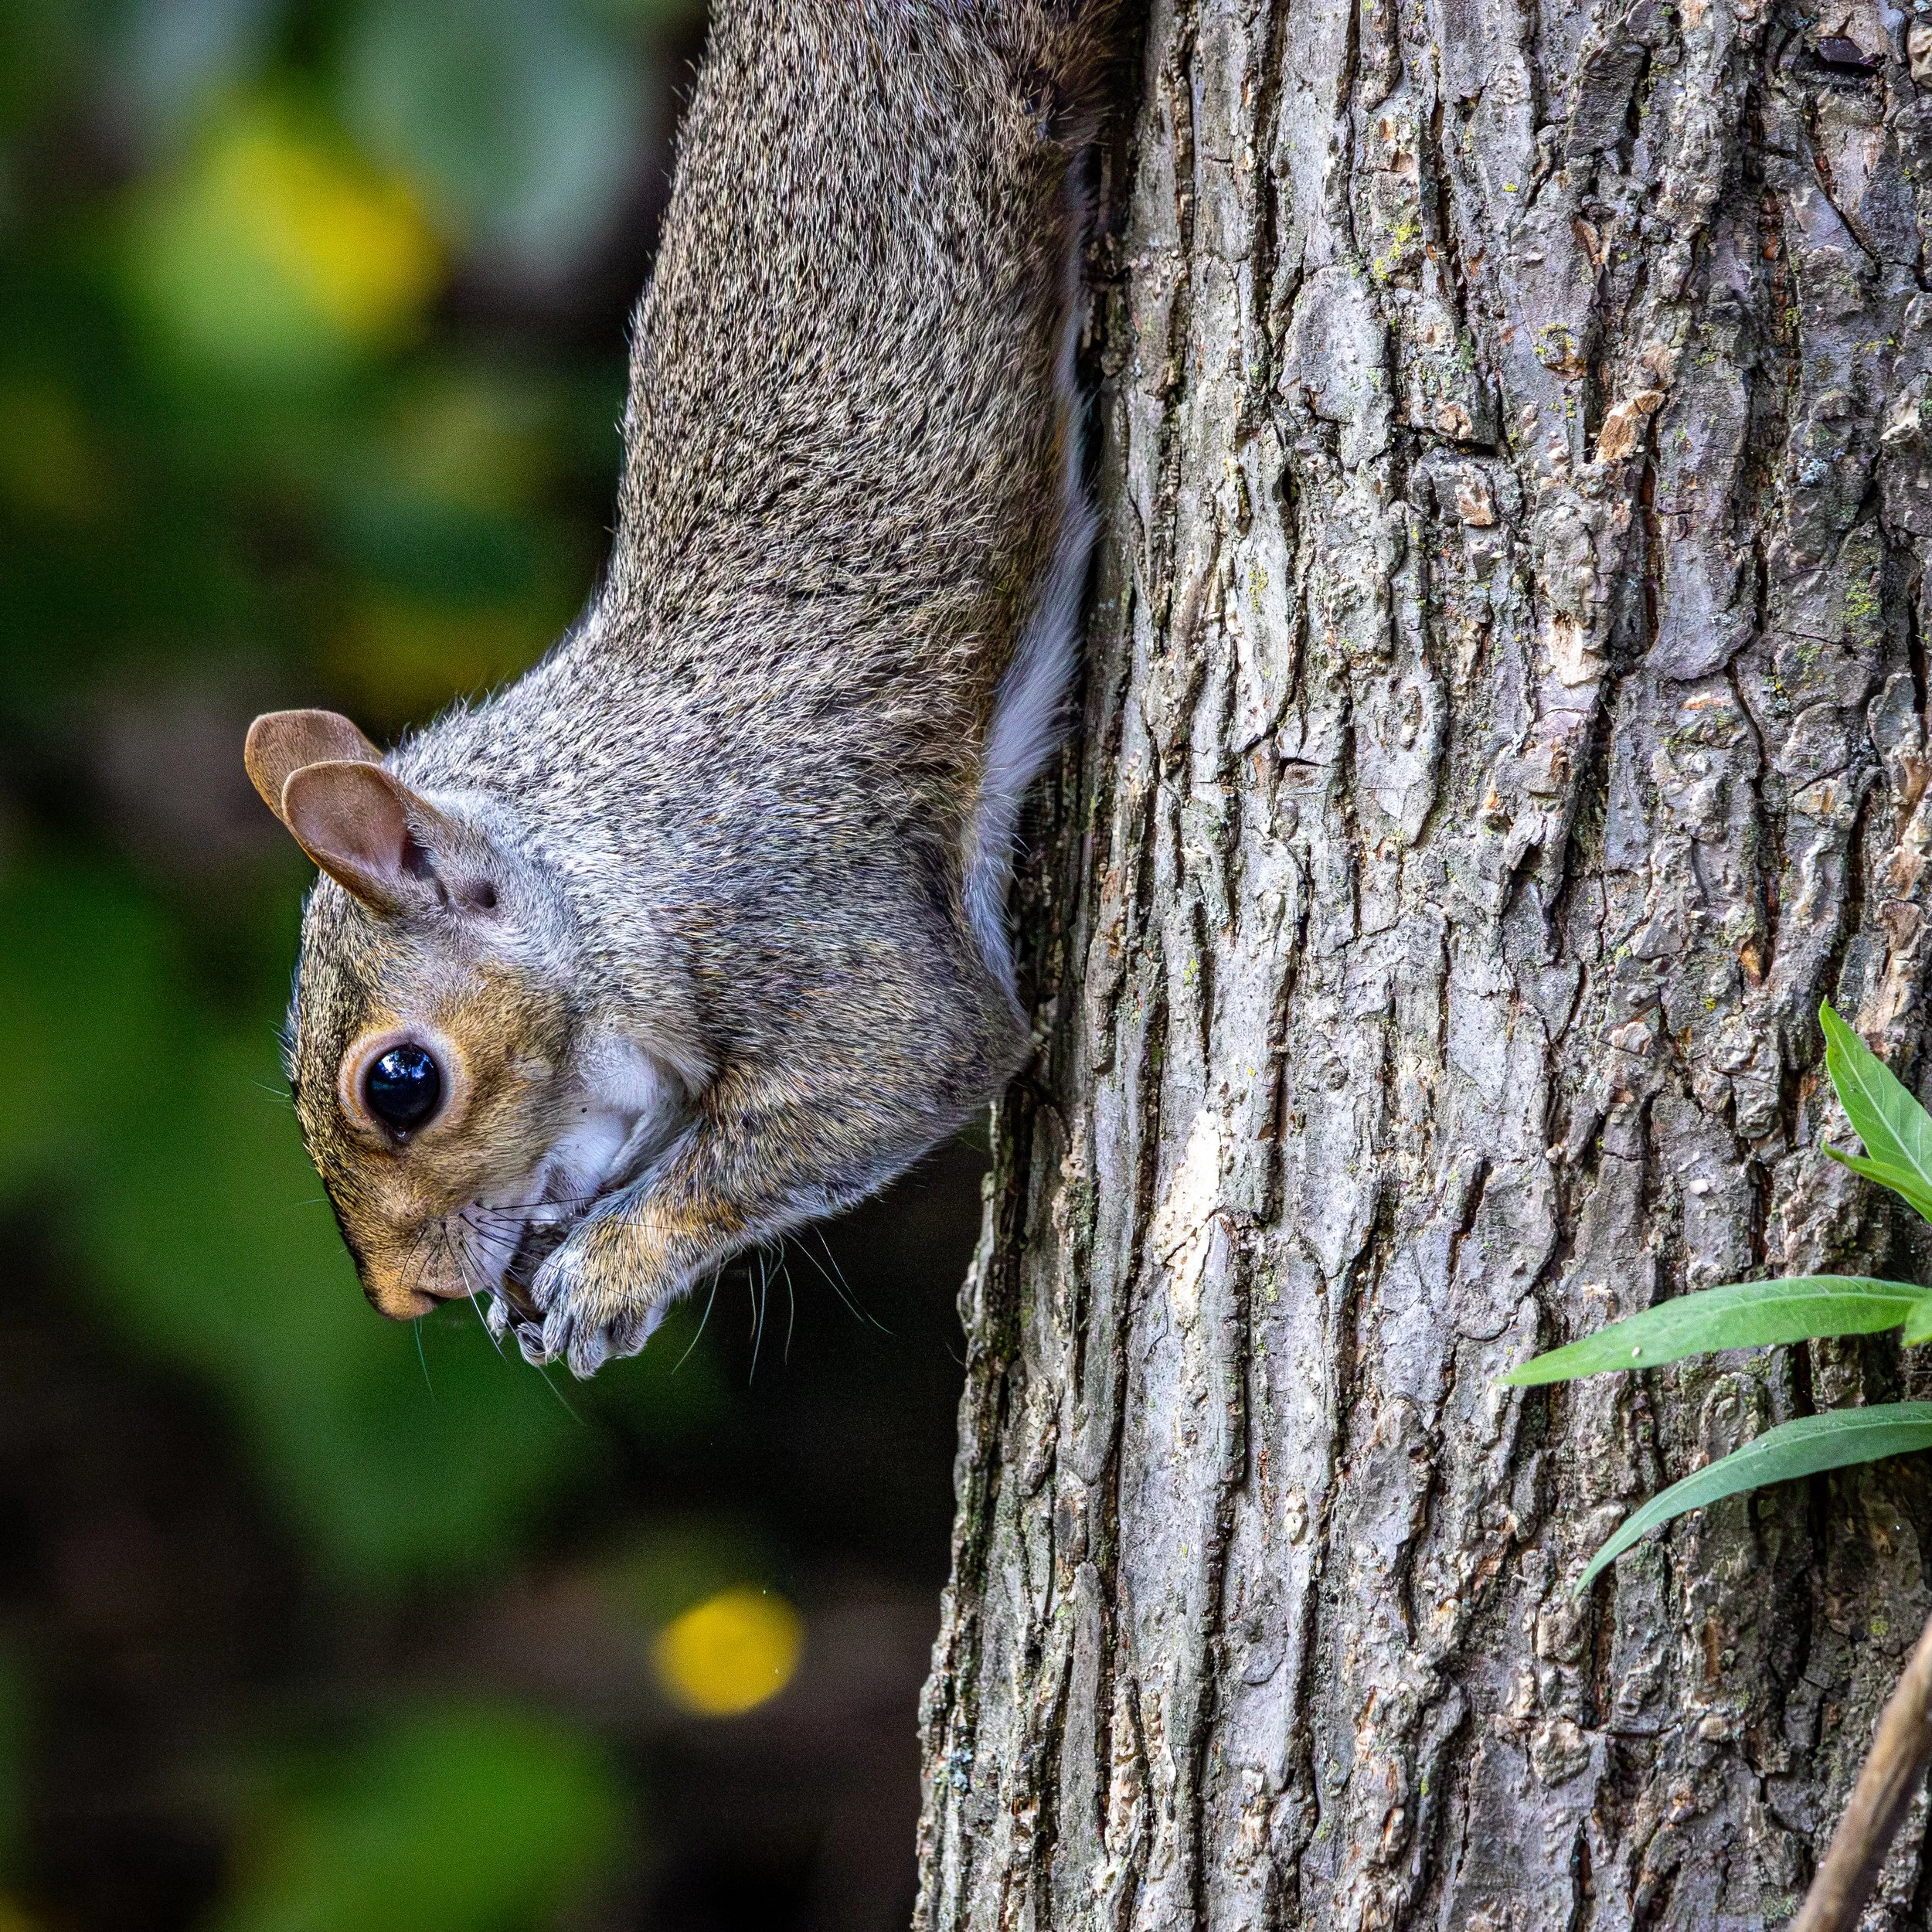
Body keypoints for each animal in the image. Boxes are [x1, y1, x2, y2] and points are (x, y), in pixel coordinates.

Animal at [243, 1, 1111, 1376]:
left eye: (401, 1084)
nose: (400, 1298)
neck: (605, 862)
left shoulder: (792, 909)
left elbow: (896, 1066)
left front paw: (612, 1268)